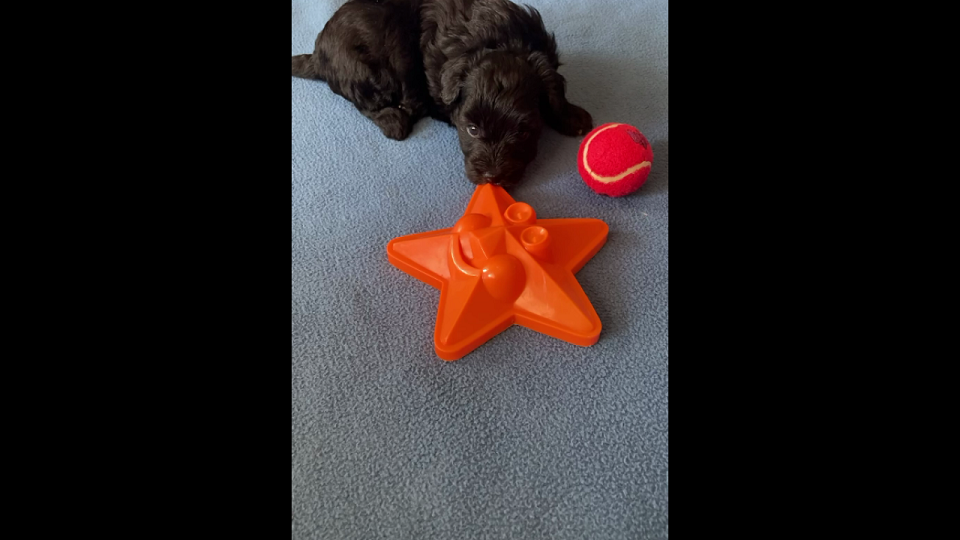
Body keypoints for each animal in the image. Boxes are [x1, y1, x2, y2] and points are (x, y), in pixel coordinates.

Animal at [292, 0, 592, 187]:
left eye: (523, 132)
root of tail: (318, 53)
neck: (502, 40)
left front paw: (571, 115)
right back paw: (395, 119)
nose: (492, 176)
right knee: (366, 101)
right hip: (367, 68)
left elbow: (555, 88)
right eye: (472, 130)